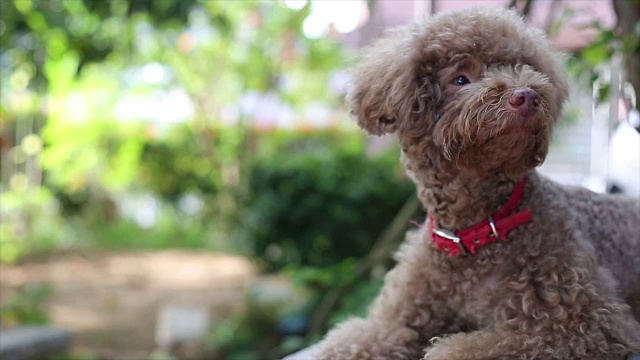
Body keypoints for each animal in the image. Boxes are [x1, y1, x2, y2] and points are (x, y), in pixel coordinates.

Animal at [312, 5, 640, 360]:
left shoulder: (585, 322)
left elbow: (460, 349)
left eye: (522, 68)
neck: (474, 232)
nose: (527, 96)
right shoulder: (397, 318)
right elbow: (354, 341)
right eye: (460, 79)